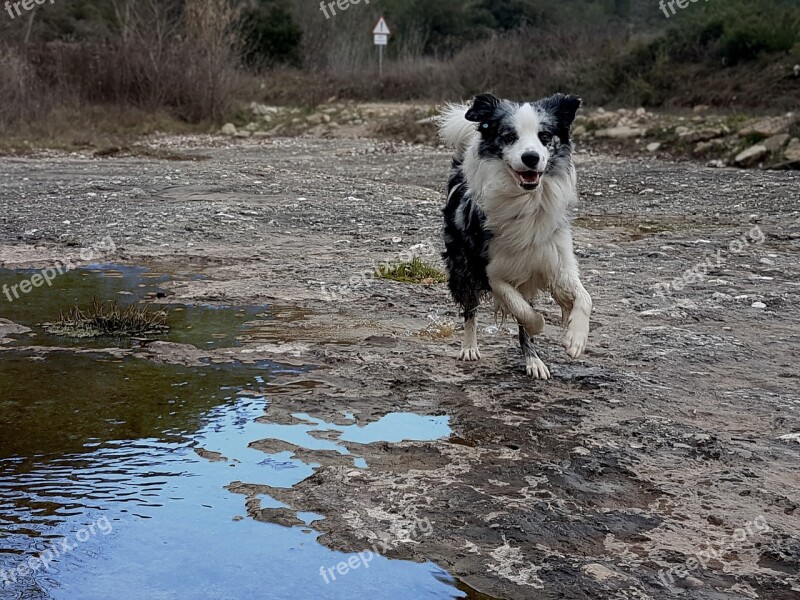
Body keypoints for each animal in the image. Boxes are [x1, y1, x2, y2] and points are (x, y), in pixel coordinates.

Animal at [438, 92, 592, 380]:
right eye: (509, 136)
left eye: (545, 136)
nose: (531, 157)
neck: (526, 200)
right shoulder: (491, 269)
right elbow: (522, 310)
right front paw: (539, 325)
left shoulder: (555, 261)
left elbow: (584, 297)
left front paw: (575, 338)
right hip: (462, 266)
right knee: (470, 310)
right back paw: (469, 347)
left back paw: (534, 362)